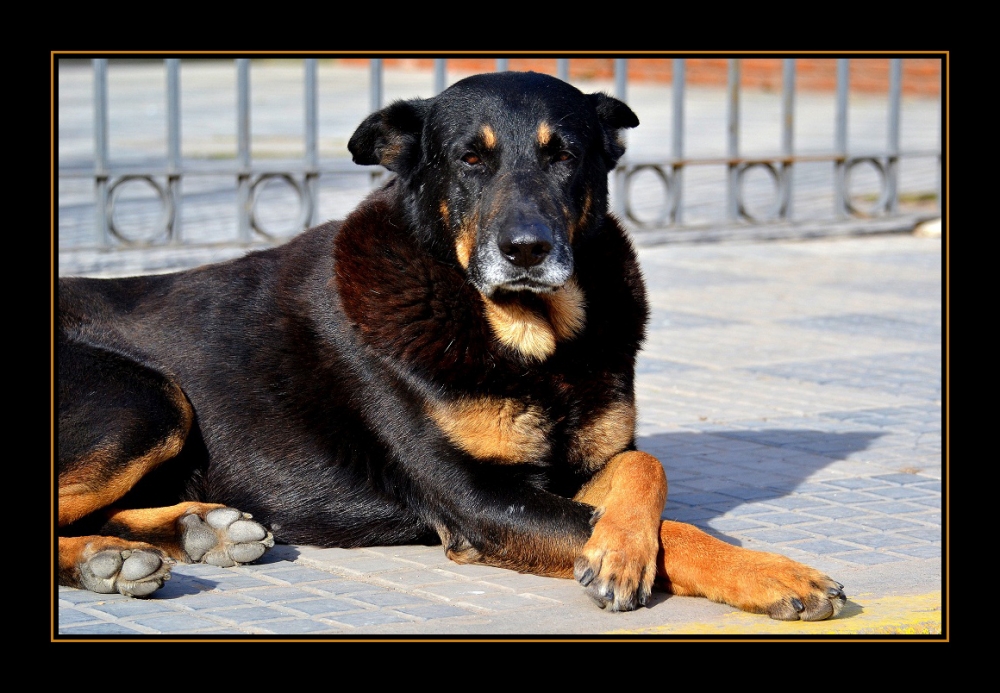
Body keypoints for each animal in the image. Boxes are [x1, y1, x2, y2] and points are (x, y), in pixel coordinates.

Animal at [58, 73, 848, 620]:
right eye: (471, 160)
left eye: (564, 157)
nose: (527, 249)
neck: (535, 339)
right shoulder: (481, 499)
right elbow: (664, 528)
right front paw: (756, 570)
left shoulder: (579, 465)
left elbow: (644, 468)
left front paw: (630, 546)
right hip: (147, 397)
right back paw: (109, 559)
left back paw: (199, 531)